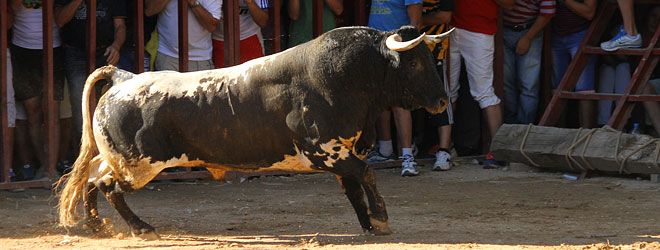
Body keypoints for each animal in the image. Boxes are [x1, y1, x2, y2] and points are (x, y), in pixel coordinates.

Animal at [58, 26, 454, 239]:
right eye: (415, 62)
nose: (441, 101)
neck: (350, 76)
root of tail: (124, 77)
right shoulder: (326, 152)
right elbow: (368, 174)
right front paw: (381, 220)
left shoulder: (342, 154)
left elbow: (355, 188)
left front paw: (369, 225)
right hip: (139, 166)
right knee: (106, 185)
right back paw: (142, 229)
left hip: (122, 160)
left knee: (90, 179)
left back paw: (97, 226)